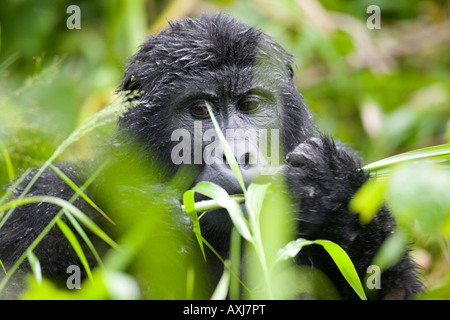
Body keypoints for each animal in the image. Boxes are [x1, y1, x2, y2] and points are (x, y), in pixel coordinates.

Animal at [0, 14, 422, 300]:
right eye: (201, 110)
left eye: (250, 105)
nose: (238, 155)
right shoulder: (41, 199)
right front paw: (143, 213)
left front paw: (333, 193)